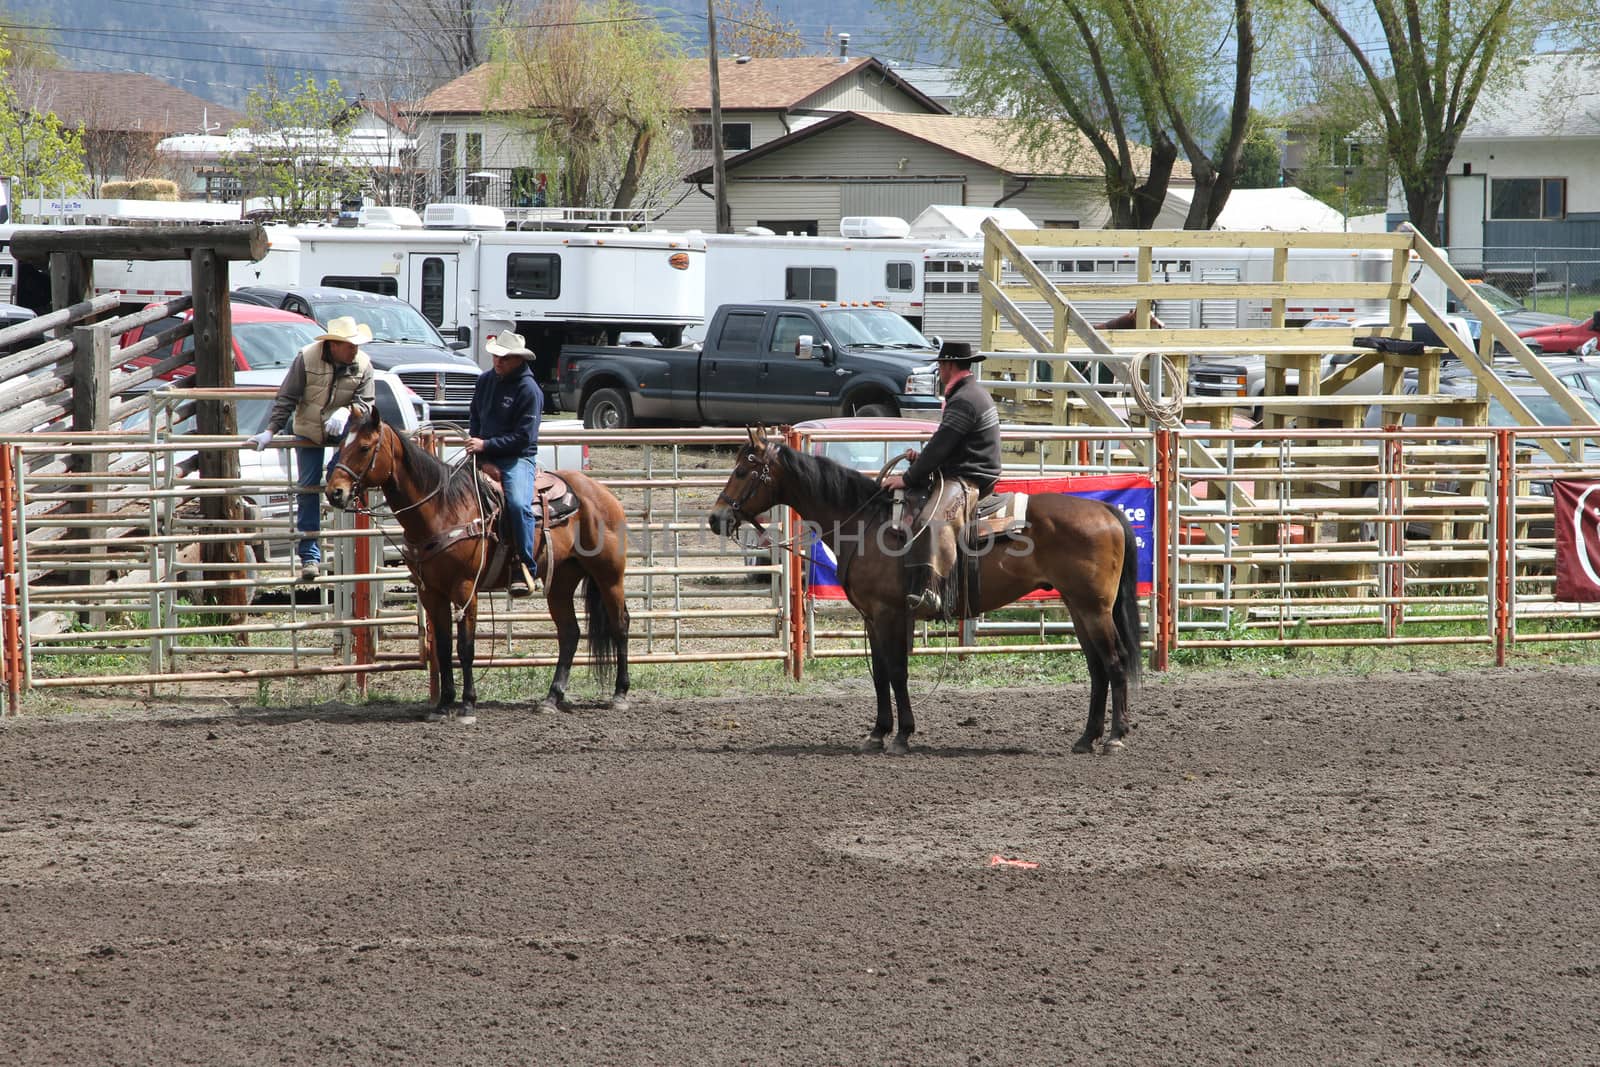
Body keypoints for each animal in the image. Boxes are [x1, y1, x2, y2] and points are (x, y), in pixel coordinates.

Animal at [321, 404, 627, 723]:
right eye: (341, 445)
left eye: (365, 447)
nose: (335, 492)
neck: (442, 508)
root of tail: (600, 492)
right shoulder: (431, 592)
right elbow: (444, 647)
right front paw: (443, 704)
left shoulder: (465, 588)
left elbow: (465, 647)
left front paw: (467, 705)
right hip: (560, 582)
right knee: (569, 633)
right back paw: (551, 698)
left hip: (609, 576)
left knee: (620, 625)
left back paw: (619, 694)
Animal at [710, 428, 1139, 755]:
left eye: (743, 470)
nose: (716, 518)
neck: (867, 522)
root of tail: (1106, 511)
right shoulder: (873, 617)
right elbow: (881, 673)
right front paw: (878, 733)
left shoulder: (889, 613)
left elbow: (897, 672)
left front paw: (901, 735)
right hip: (1077, 605)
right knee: (1096, 668)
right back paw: (1086, 738)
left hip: (1094, 608)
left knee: (1114, 662)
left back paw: (1115, 738)